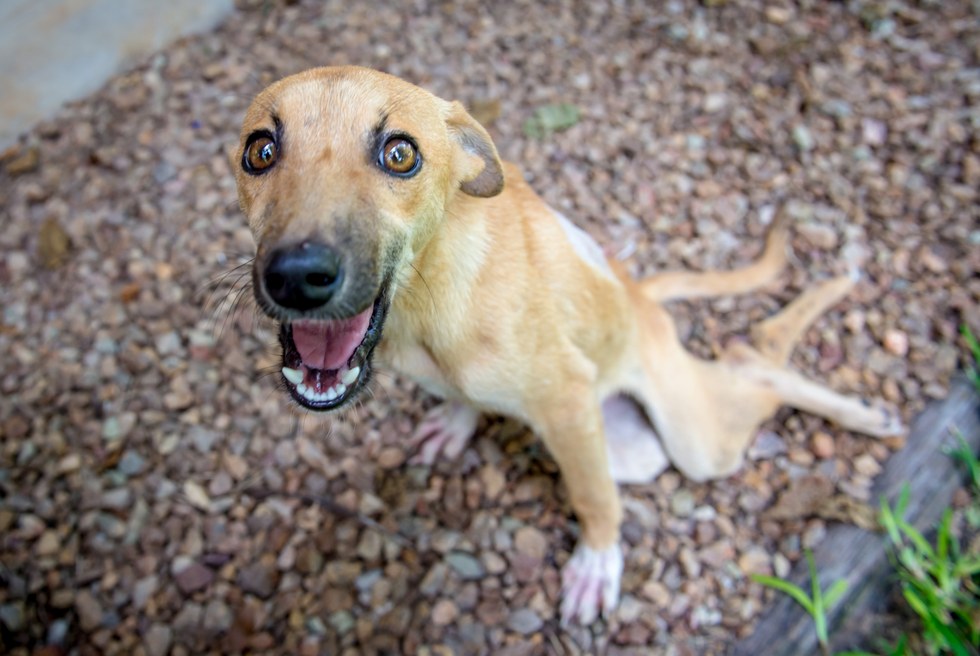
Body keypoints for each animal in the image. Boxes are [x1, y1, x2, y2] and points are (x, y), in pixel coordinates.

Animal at [232, 68, 904, 624]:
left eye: (400, 154)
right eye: (260, 150)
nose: (297, 275)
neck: (429, 300)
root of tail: (639, 295)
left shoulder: (568, 404)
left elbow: (593, 497)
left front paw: (597, 563)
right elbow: (466, 398)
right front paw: (457, 422)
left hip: (695, 443)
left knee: (754, 361)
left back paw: (863, 407)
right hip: (639, 450)